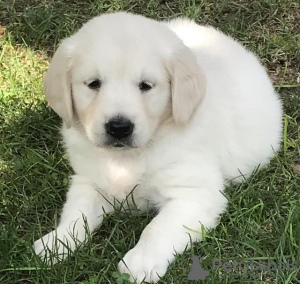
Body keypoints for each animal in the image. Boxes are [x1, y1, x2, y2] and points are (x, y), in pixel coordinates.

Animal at [34, 12, 282, 282]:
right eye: (93, 83)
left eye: (145, 85)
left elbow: (157, 228)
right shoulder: (88, 180)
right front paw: (56, 243)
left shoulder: (195, 193)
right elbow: (76, 214)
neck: (130, 156)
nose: (119, 127)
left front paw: (140, 263)